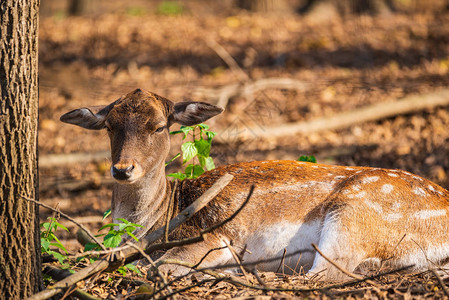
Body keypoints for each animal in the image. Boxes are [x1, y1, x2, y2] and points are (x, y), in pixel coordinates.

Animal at [60, 88, 449, 280]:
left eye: (158, 126)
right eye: (109, 125)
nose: (123, 168)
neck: (157, 223)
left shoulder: (210, 239)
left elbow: (158, 266)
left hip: (353, 213)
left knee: (329, 273)